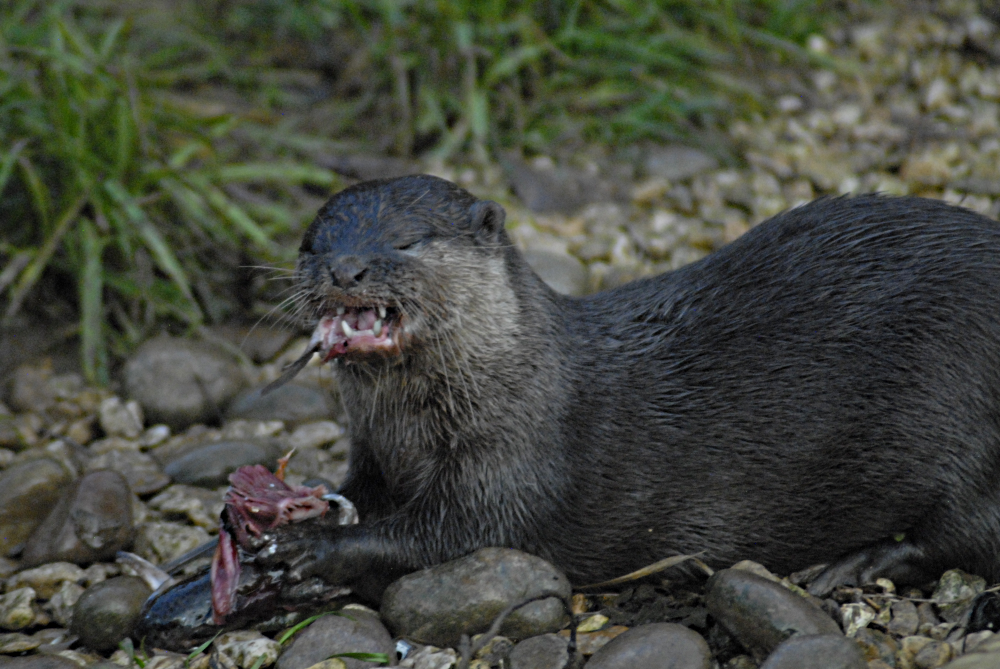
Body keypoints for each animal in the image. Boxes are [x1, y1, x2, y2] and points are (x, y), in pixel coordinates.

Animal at [257, 174, 1000, 597]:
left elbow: (446, 536)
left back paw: (856, 563)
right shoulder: (376, 454)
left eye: (408, 240)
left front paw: (311, 549)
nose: (345, 268)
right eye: (311, 243)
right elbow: (356, 498)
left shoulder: (515, 467)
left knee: (963, 536)